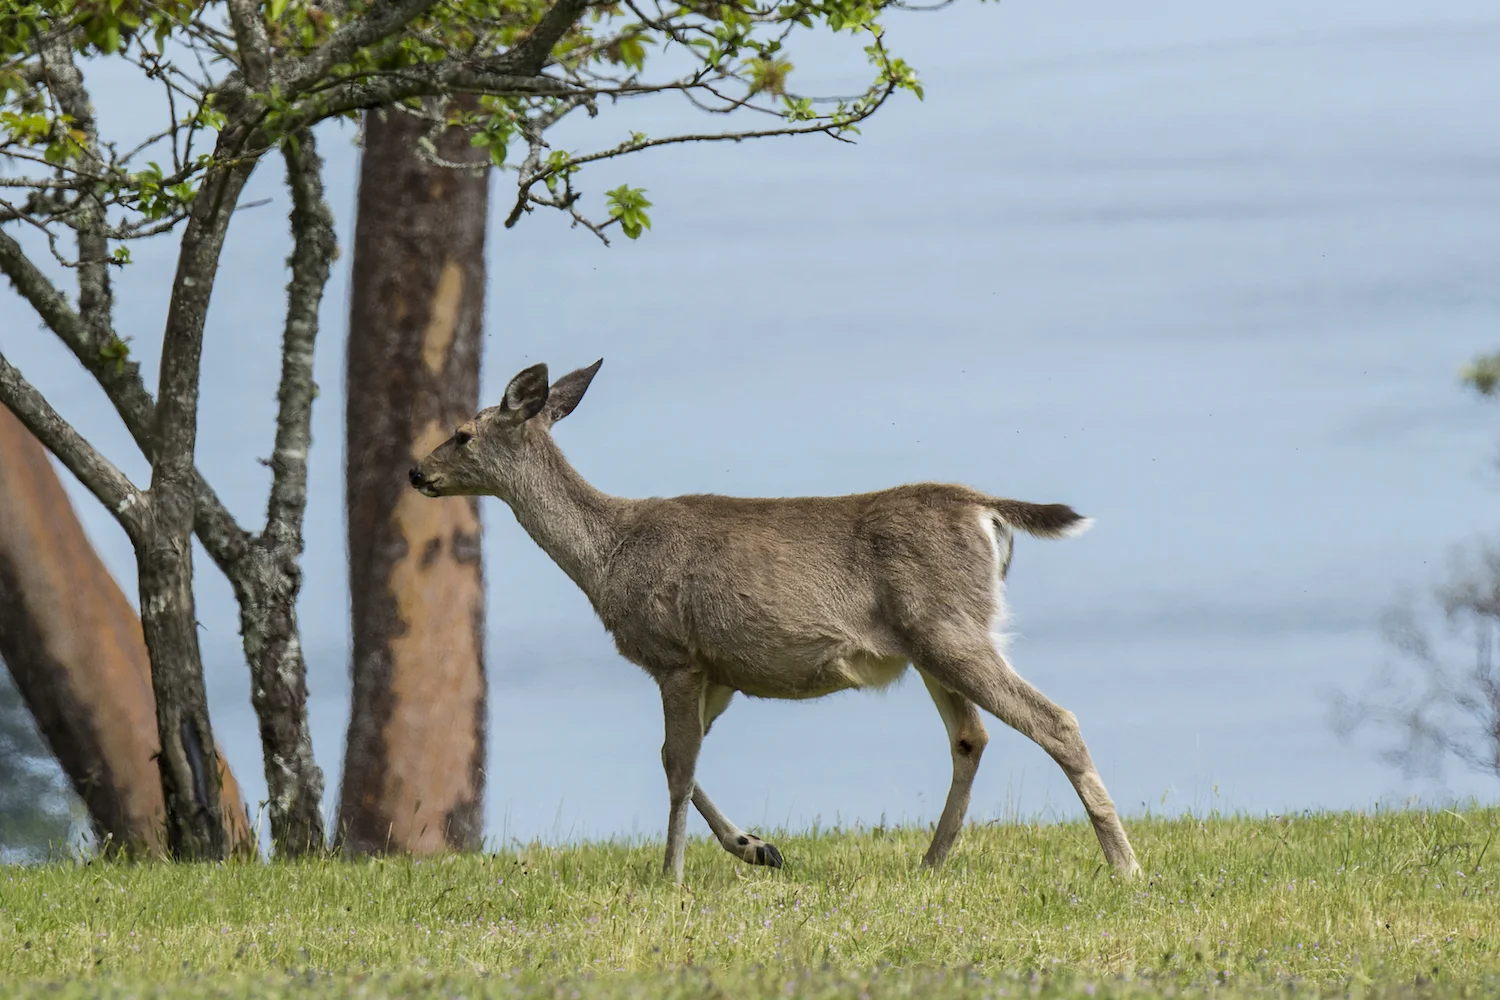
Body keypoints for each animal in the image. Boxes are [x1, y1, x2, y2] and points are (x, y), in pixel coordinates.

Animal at [409, 359, 1141, 882]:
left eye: (463, 434)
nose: (416, 472)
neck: (607, 557)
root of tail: (984, 507)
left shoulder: (674, 652)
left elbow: (677, 764)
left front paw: (670, 875)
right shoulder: (722, 669)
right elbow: (679, 758)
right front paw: (757, 847)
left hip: (950, 627)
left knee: (1053, 721)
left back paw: (1124, 865)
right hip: (932, 642)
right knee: (971, 737)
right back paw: (931, 863)